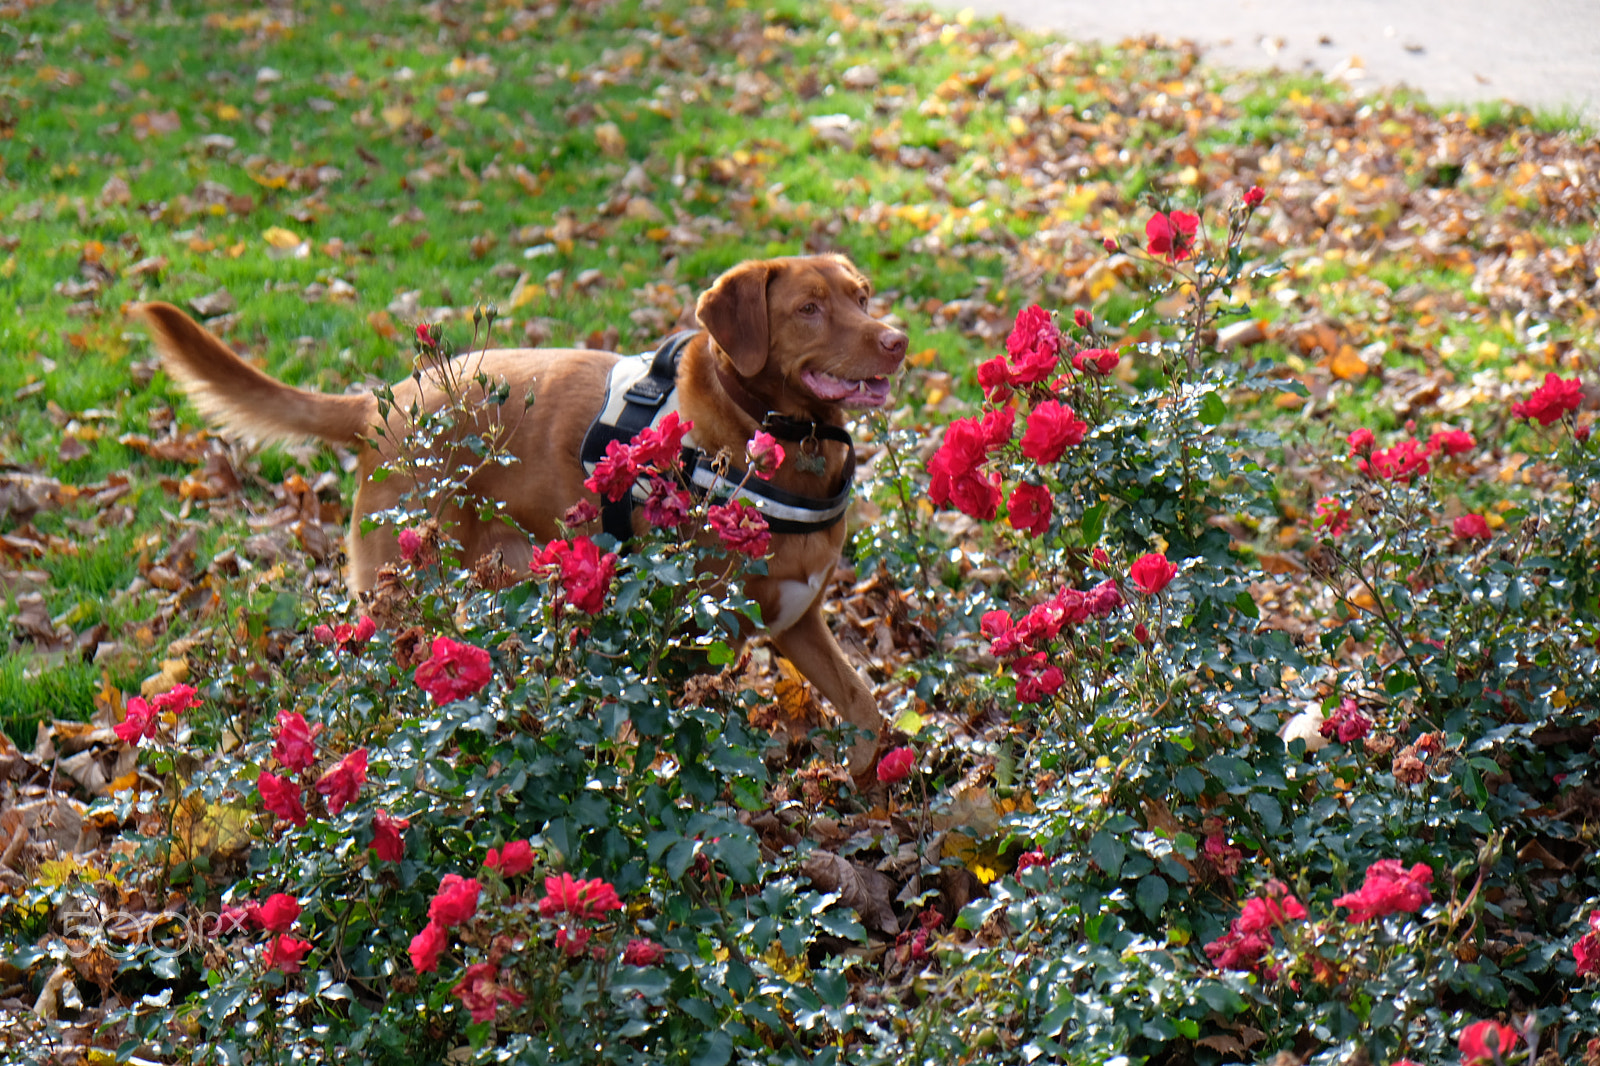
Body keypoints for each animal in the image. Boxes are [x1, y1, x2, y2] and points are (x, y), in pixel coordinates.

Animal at [136, 252, 908, 768]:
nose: (896, 338)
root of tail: (385, 404)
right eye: (809, 308)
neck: (777, 439)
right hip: (401, 594)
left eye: (863, 296)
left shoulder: (800, 620)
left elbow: (865, 710)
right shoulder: (684, 636)